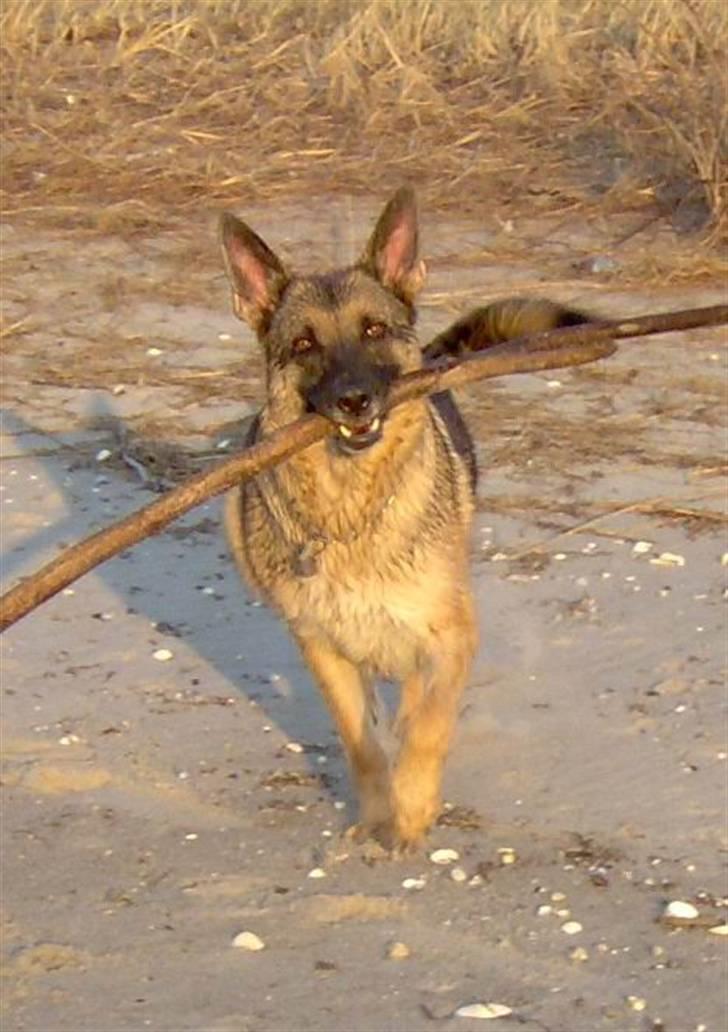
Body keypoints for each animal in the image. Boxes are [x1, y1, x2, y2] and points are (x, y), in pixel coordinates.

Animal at [219, 189, 590, 850]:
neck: (350, 508)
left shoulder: (447, 639)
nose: (353, 401)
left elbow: (426, 729)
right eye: (304, 345)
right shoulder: (323, 649)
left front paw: (412, 810)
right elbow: (362, 744)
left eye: (373, 329)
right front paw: (376, 815)